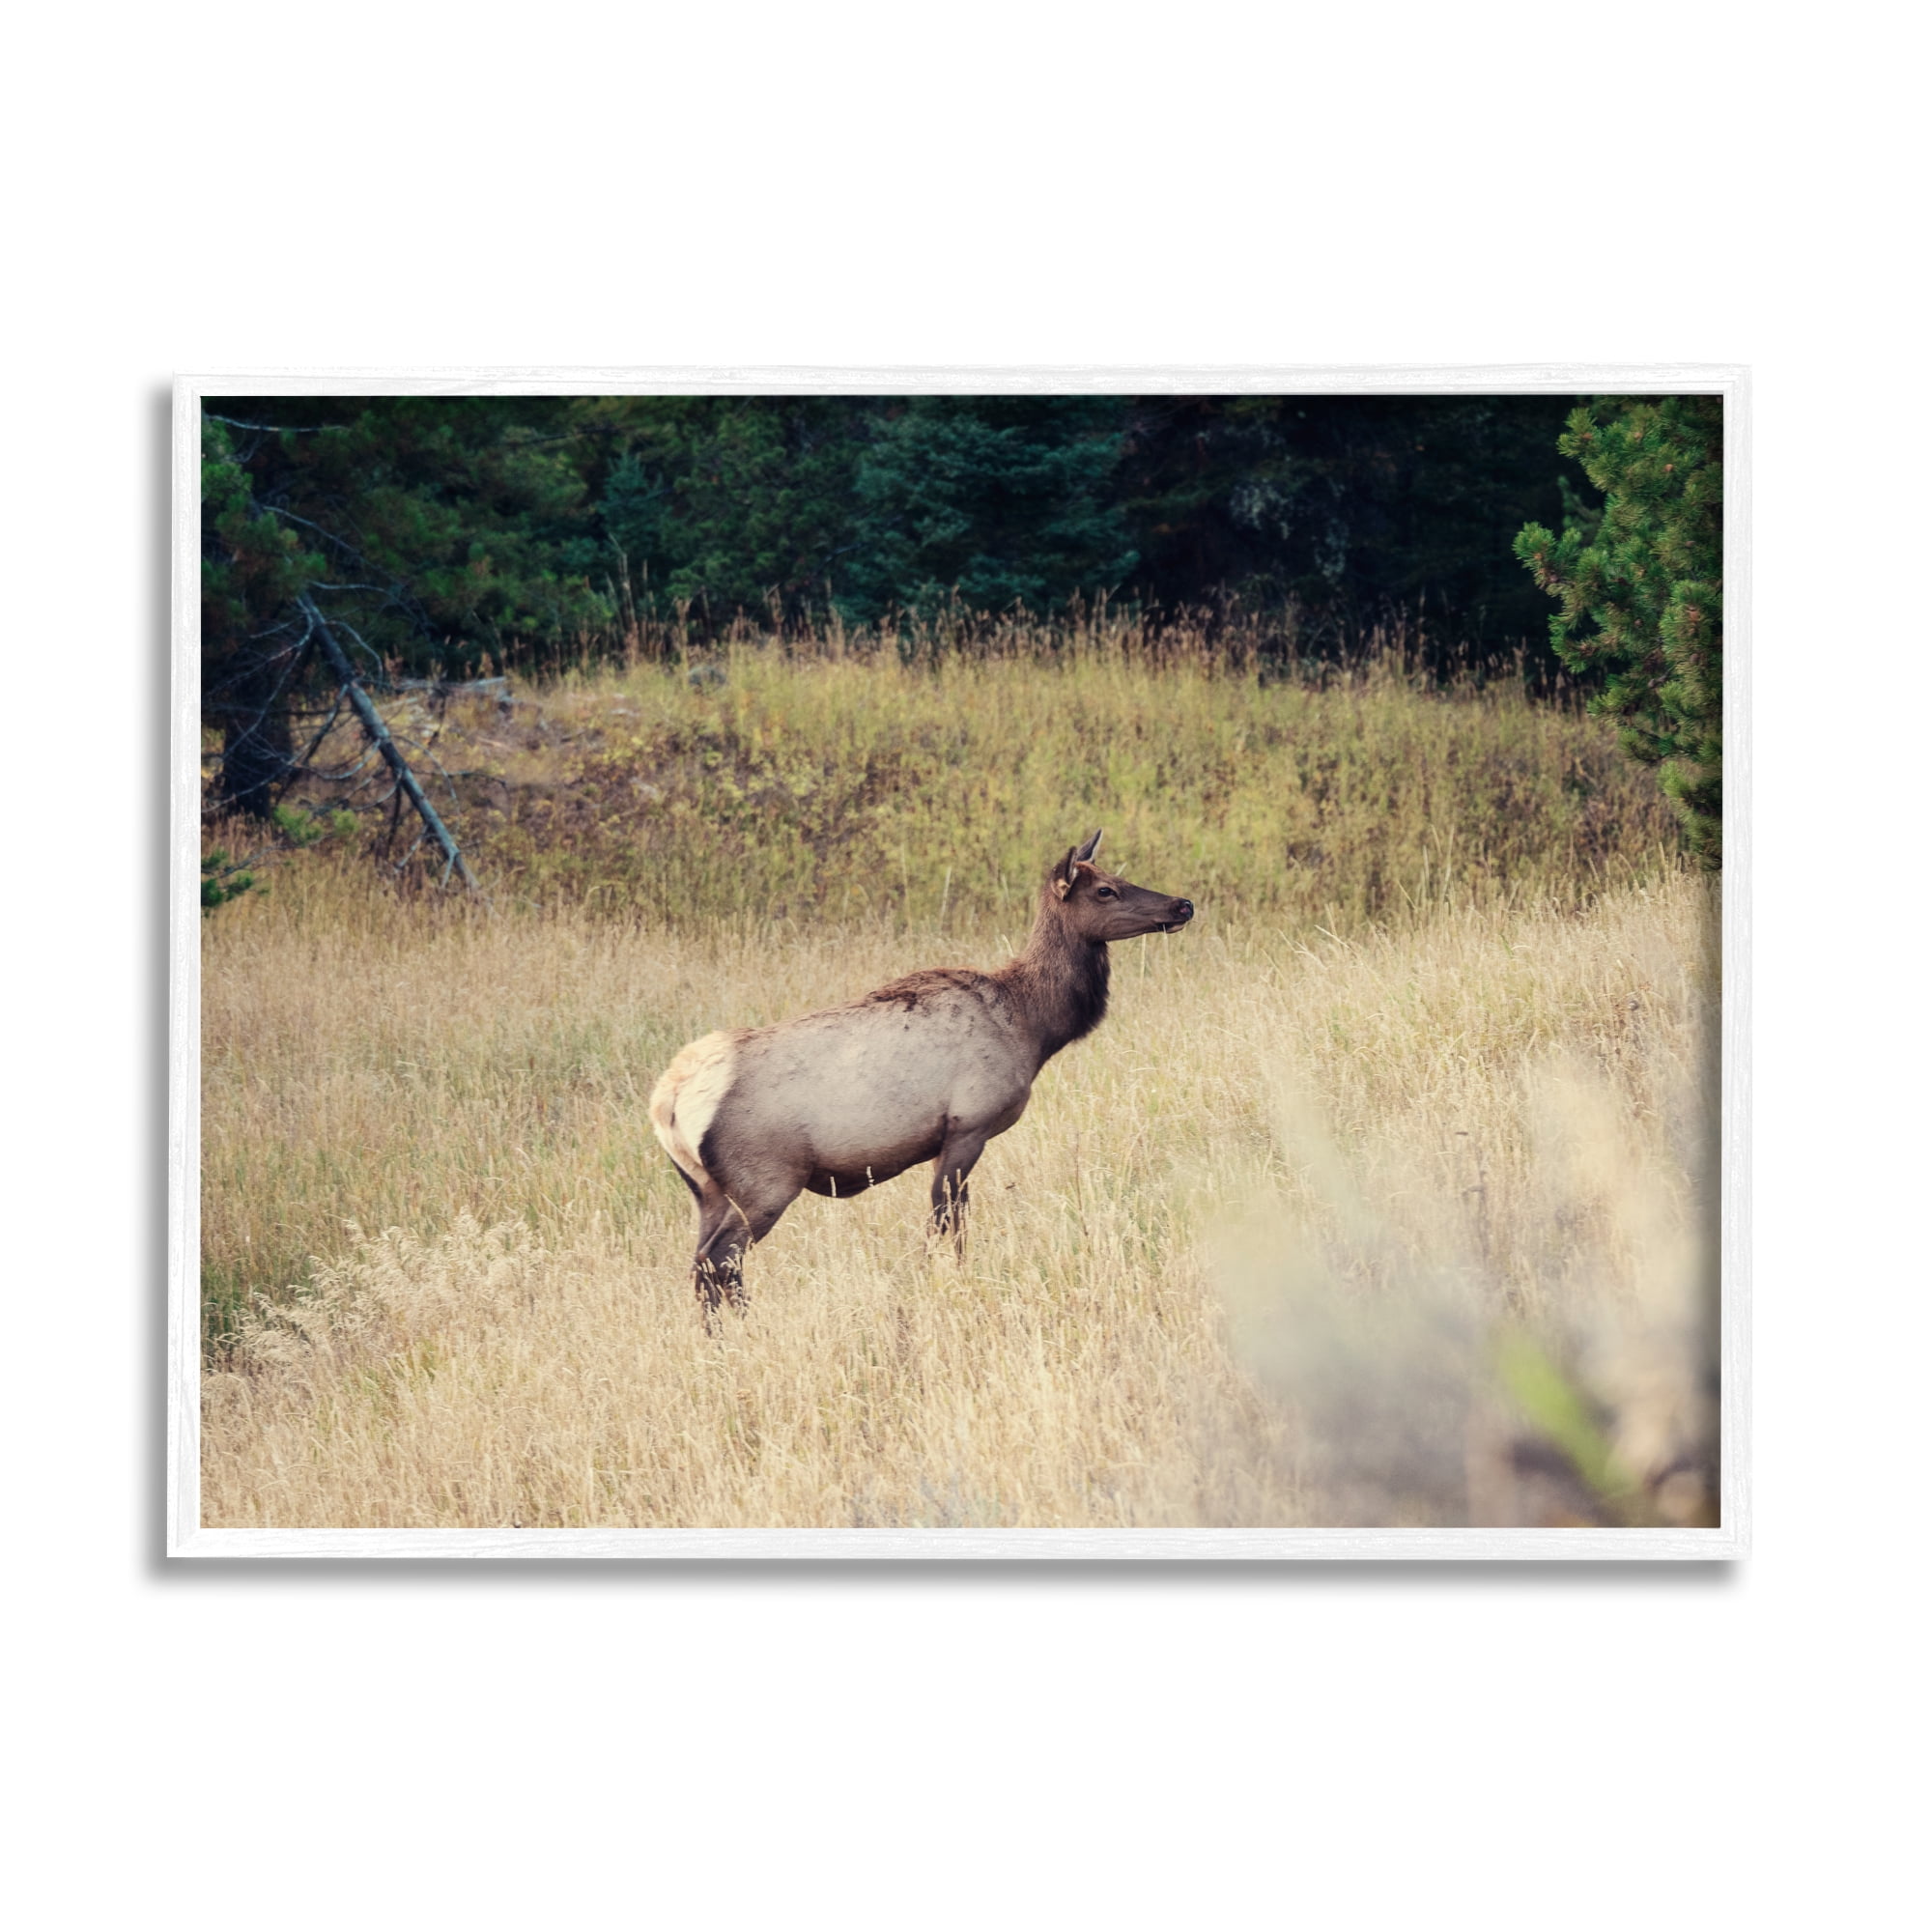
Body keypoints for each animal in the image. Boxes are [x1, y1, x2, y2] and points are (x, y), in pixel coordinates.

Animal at [648, 830, 1195, 1314]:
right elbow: (946, 1224)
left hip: (706, 1190)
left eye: (1118, 875)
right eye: (1105, 890)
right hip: (765, 1181)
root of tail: (668, 1101)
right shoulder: (969, 1125)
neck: (1033, 1026)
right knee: (719, 1261)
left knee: (701, 1263)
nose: (1183, 905)